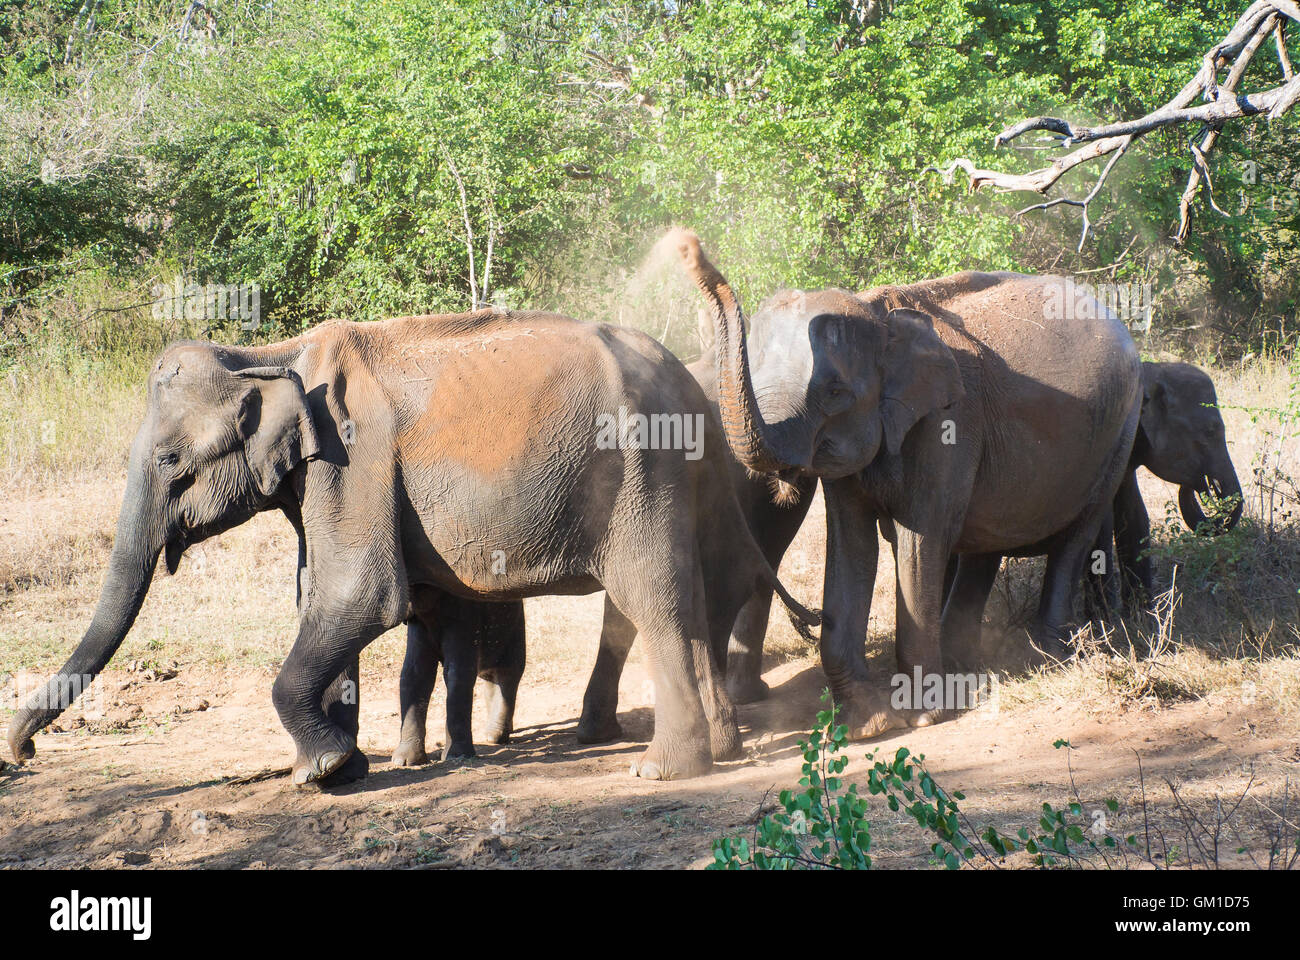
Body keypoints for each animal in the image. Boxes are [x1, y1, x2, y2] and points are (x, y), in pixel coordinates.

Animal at [10, 306, 816, 780]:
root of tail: (690, 382)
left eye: (171, 461)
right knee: (698, 592)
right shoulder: (325, 478)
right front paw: (347, 762)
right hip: (685, 474)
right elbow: (319, 597)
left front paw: (326, 771)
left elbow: (360, 596)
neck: (267, 351)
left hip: (639, 472)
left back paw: (663, 770)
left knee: (655, 596)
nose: (22, 751)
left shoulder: (352, 459)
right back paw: (726, 748)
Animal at [670, 227, 1138, 738]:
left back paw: (1047, 658)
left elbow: (921, 541)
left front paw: (924, 716)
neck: (877, 312)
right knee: (987, 541)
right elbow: (851, 545)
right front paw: (869, 724)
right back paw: (964, 665)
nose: (687, 245)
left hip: (1118, 432)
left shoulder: (948, 422)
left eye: (835, 392)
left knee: (1076, 536)